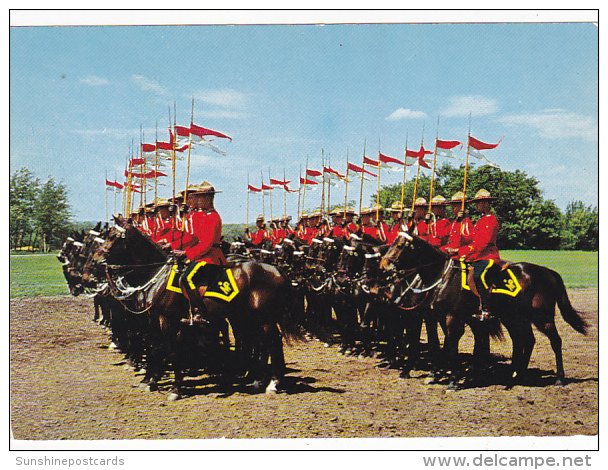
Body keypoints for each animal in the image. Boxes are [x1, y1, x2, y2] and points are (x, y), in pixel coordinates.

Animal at [380, 229, 588, 388]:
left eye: (400, 246)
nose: (384, 266)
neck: (441, 278)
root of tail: (548, 272)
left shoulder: (451, 318)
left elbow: (451, 346)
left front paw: (452, 380)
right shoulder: (434, 316)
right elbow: (437, 344)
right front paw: (436, 374)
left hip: (542, 317)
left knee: (555, 341)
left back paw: (559, 379)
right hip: (515, 318)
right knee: (526, 341)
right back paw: (515, 376)